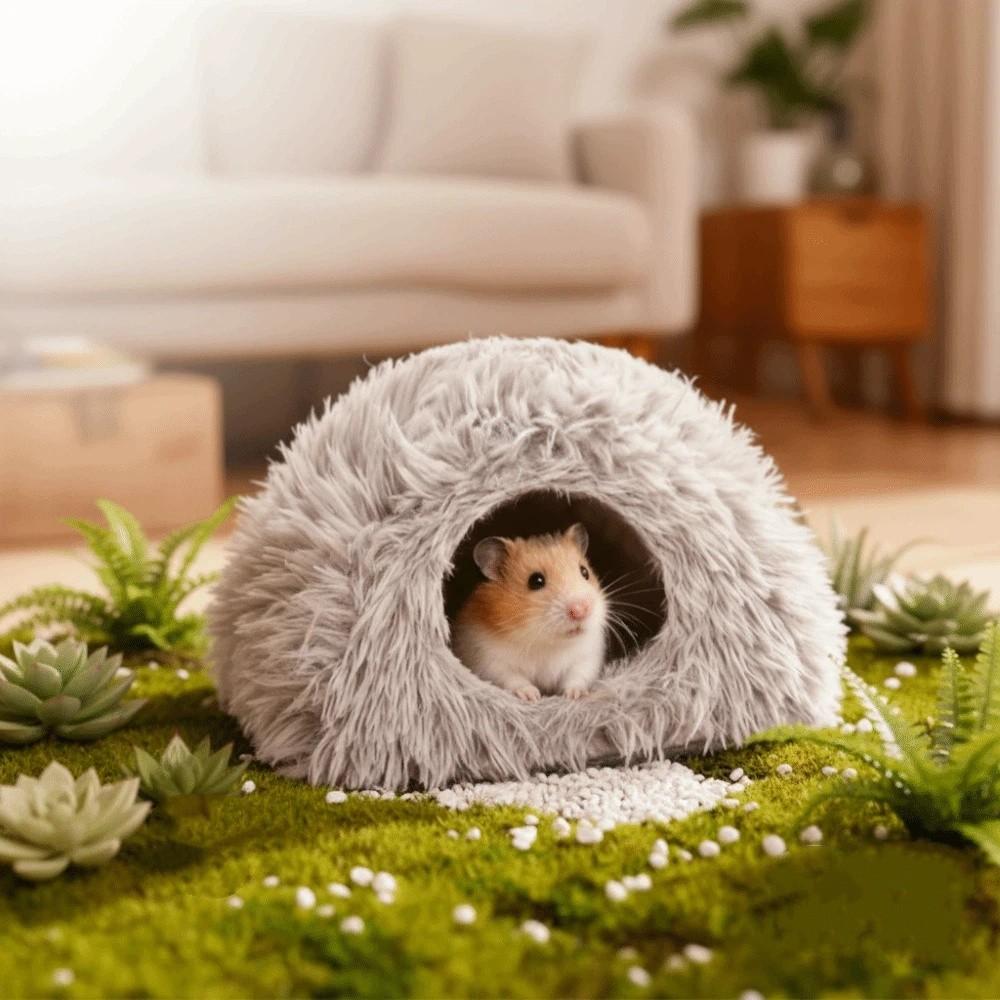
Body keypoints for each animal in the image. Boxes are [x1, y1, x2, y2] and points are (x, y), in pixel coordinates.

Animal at [452, 523, 607, 702]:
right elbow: (513, 679)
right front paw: (532, 696)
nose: (581, 611)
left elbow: (577, 676)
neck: (545, 642)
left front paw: (575, 695)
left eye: (585, 572)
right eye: (536, 581)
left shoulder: (587, 656)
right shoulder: (490, 662)